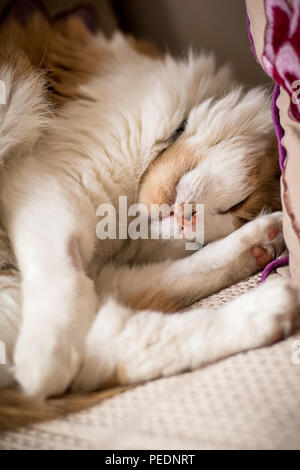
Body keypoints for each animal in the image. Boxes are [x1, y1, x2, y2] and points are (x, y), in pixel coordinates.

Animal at [0, 11, 298, 430]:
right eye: (238, 204)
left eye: (232, 213)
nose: (188, 225)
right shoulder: (45, 186)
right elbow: (63, 277)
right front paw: (49, 346)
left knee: (118, 341)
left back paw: (267, 284)